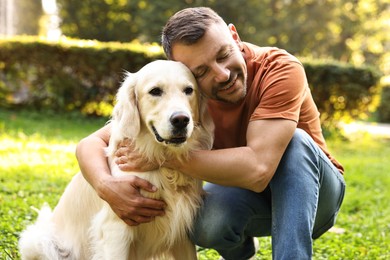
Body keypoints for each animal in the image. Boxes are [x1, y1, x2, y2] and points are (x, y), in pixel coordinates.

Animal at [17, 60, 213, 258]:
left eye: (188, 90)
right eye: (155, 91)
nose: (181, 120)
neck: (162, 163)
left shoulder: (182, 231)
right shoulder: (115, 229)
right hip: (37, 241)